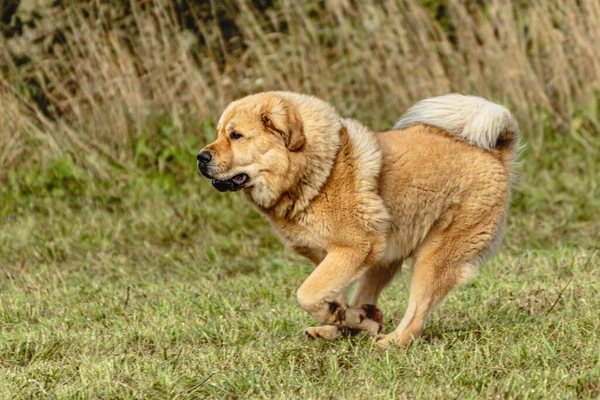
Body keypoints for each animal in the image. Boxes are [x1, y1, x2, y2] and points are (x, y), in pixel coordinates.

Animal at [198, 92, 520, 348]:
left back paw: (390, 341)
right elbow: (331, 294)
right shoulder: (331, 256)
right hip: (384, 257)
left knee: (416, 317)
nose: (201, 157)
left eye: (236, 136)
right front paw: (345, 317)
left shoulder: (353, 248)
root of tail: (496, 154)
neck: (319, 172)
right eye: (219, 134)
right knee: (369, 298)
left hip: (432, 258)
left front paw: (340, 315)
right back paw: (351, 324)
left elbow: (307, 294)